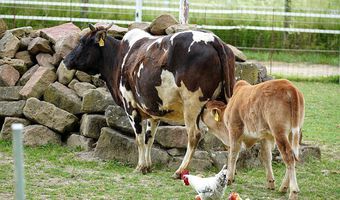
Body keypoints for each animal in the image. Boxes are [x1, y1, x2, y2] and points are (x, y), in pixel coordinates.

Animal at [63, 24, 234, 179]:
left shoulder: (131, 107)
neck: (119, 58)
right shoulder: (154, 111)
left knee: (194, 135)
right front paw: (148, 166)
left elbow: (139, 139)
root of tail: (213, 39)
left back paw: (179, 171)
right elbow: (149, 138)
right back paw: (230, 175)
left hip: (192, 105)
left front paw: (140, 166)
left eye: (82, 42)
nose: (65, 60)